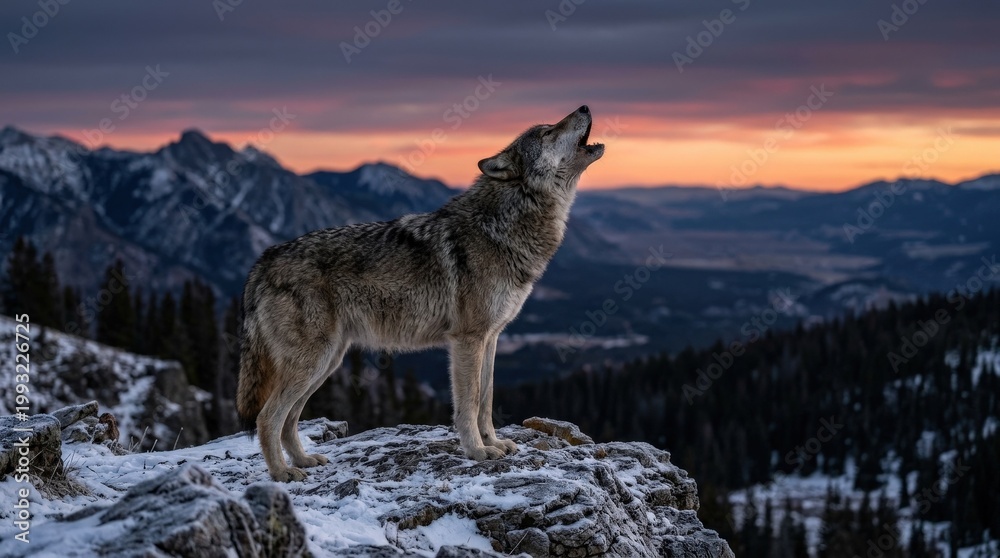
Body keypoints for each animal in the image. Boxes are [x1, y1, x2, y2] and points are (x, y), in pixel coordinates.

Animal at [237, 105, 604, 481]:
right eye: (547, 132)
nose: (585, 107)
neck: (503, 226)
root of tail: (262, 261)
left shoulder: (491, 337)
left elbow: (485, 399)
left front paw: (494, 443)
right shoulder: (467, 340)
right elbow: (469, 402)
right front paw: (477, 451)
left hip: (326, 362)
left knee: (289, 420)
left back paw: (303, 461)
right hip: (313, 363)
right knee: (267, 418)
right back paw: (282, 474)